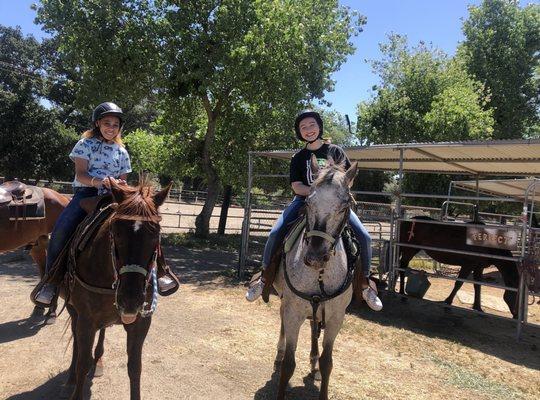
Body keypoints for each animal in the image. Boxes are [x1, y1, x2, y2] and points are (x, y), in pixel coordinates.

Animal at [61, 180, 172, 400]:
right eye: (116, 231)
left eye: (156, 233)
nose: (131, 300)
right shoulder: (86, 320)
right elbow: (82, 363)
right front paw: (76, 379)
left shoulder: (141, 322)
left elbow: (135, 367)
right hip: (73, 310)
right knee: (76, 338)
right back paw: (70, 376)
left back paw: (98, 361)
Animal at [274, 156, 358, 400]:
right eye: (308, 203)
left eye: (345, 206)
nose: (315, 257)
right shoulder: (293, 311)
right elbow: (289, 364)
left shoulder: (336, 316)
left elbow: (327, 362)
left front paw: (320, 368)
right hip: (287, 303)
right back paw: (279, 353)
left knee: (313, 328)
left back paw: (313, 363)